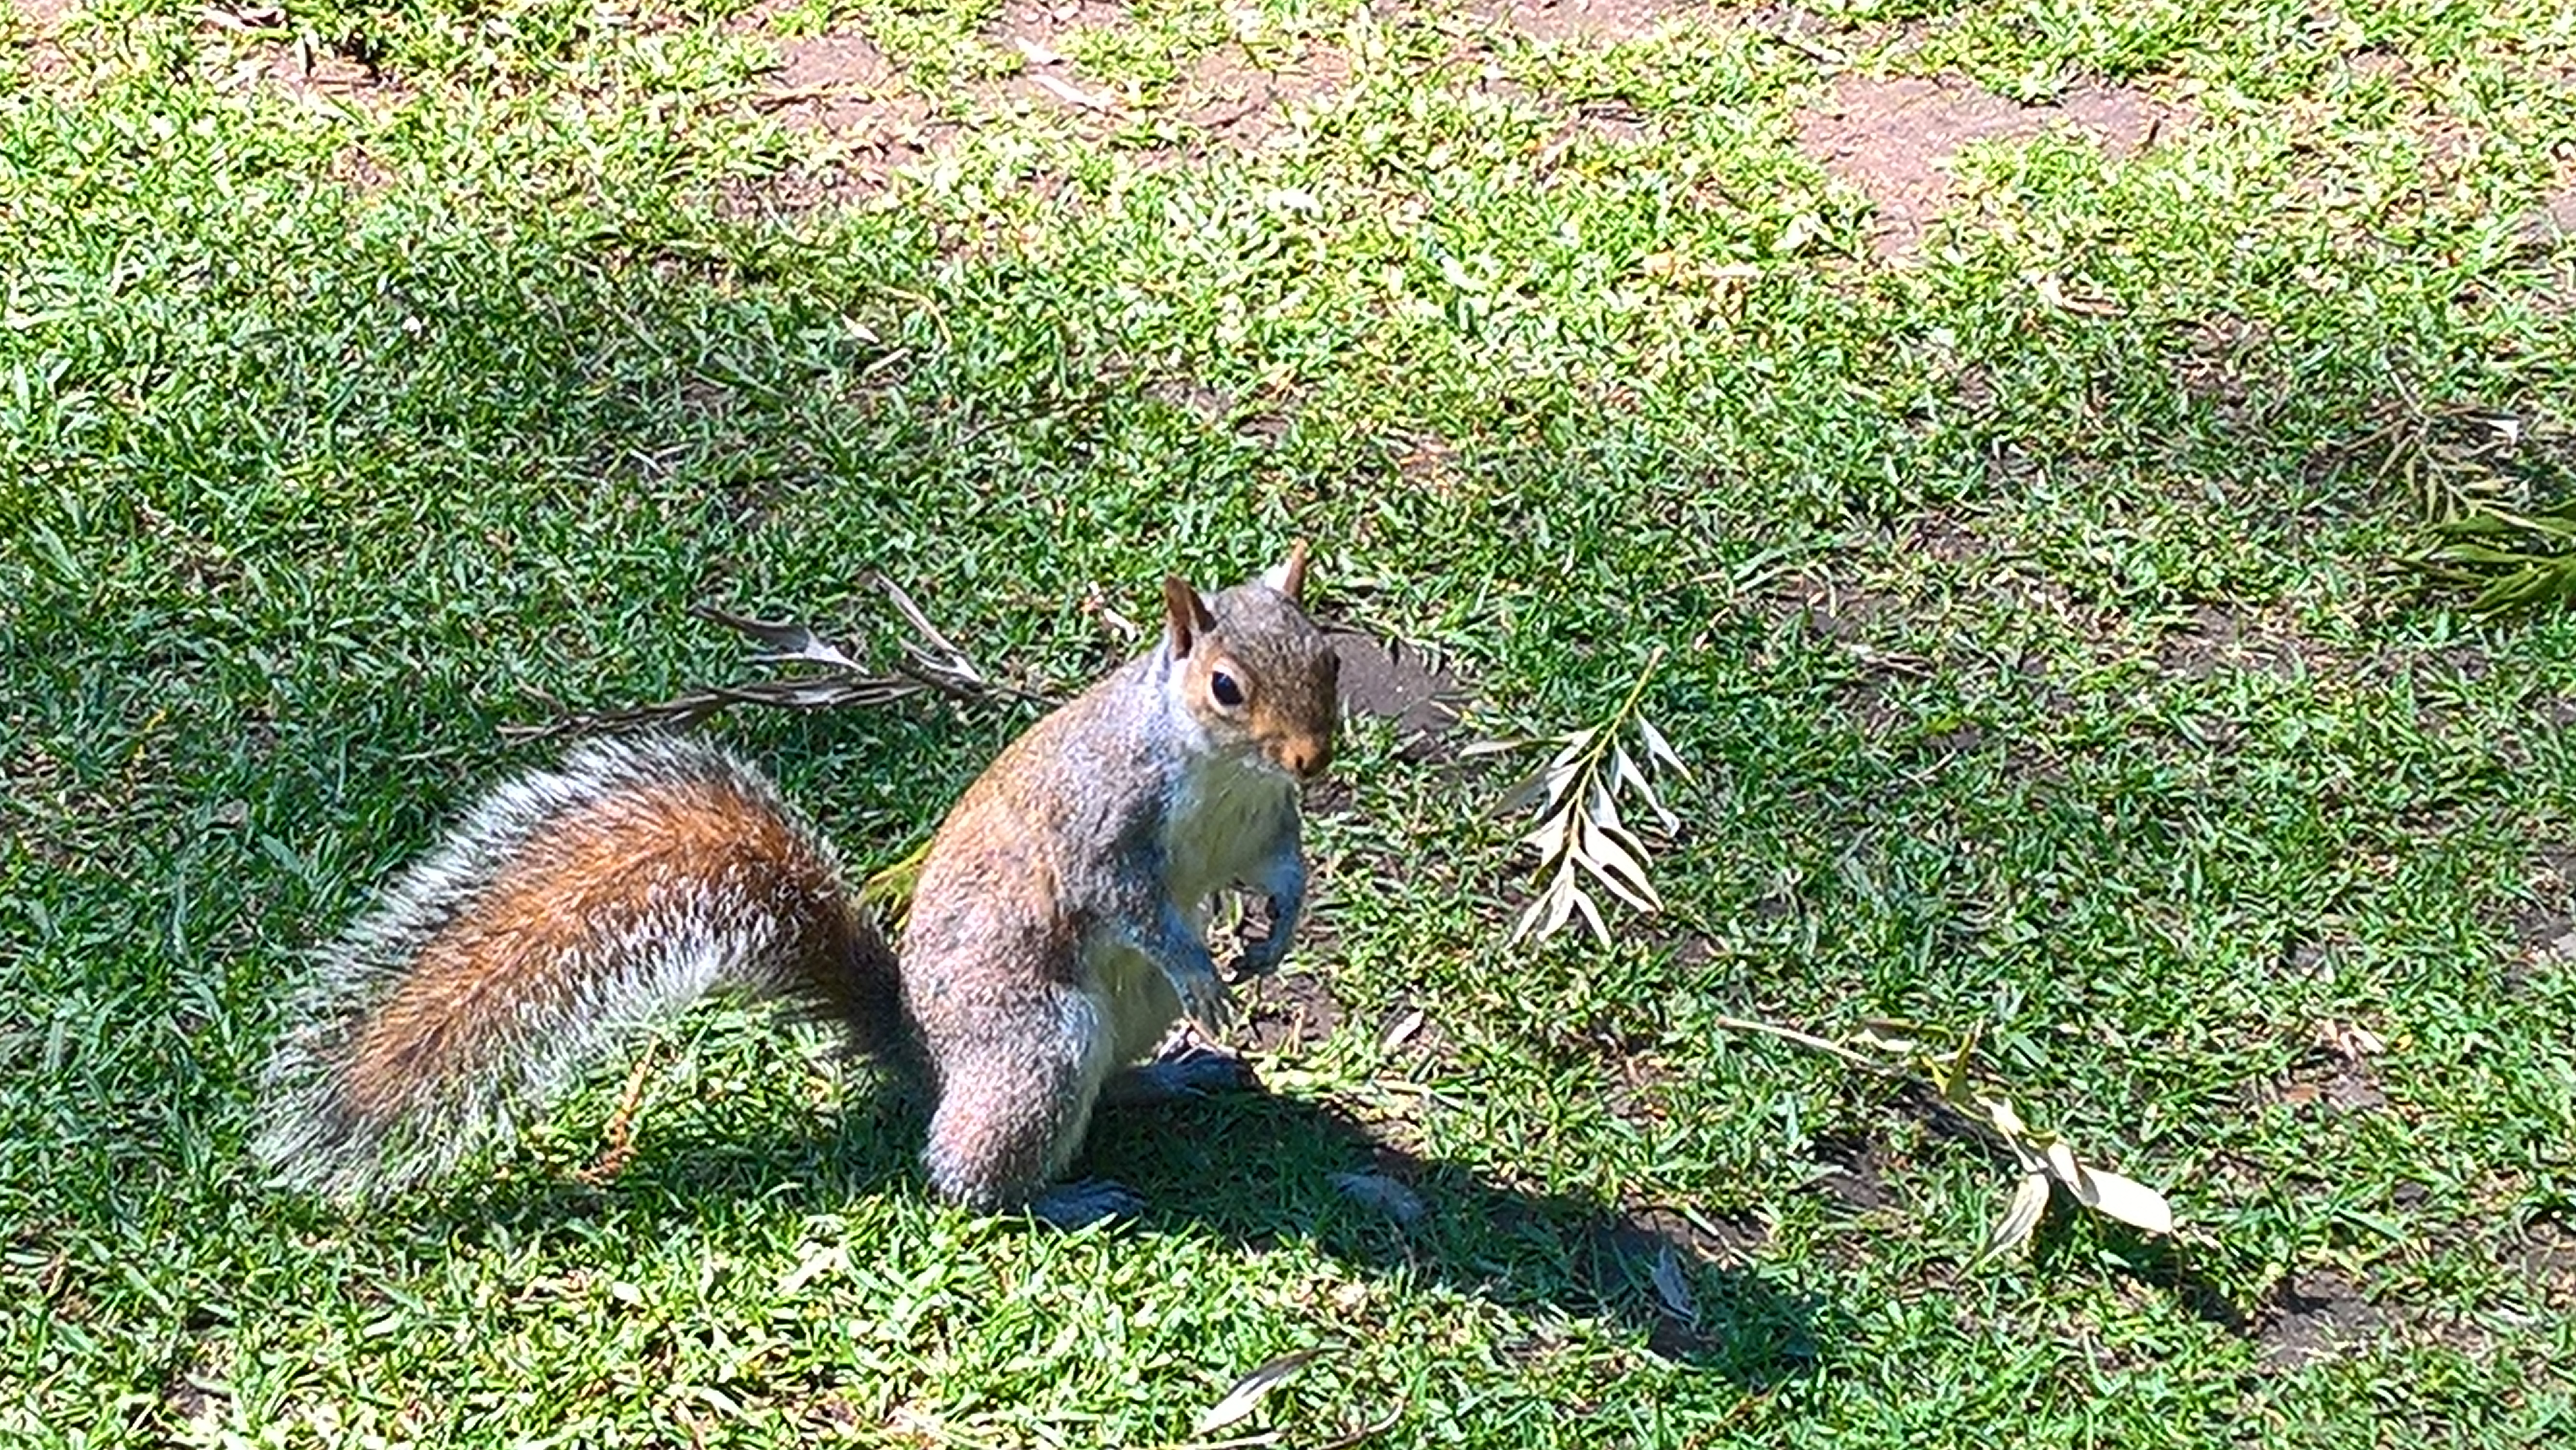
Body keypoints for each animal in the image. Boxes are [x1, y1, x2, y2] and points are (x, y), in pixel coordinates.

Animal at [254, 546, 1350, 1226]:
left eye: (1331, 660)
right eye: (1225, 687)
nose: (1313, 759)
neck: (1223, 774)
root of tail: (927, 1056)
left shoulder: (1265, 826)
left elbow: (1282, 871)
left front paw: (1272, 936)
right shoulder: (1103, 829)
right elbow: (1131, 908)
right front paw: (1204, 965)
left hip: (1113, 1023)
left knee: (1108, 1087)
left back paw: (1175, 1074)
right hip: (1037, 1042)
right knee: (964, 1172)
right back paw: (1057, 1197)